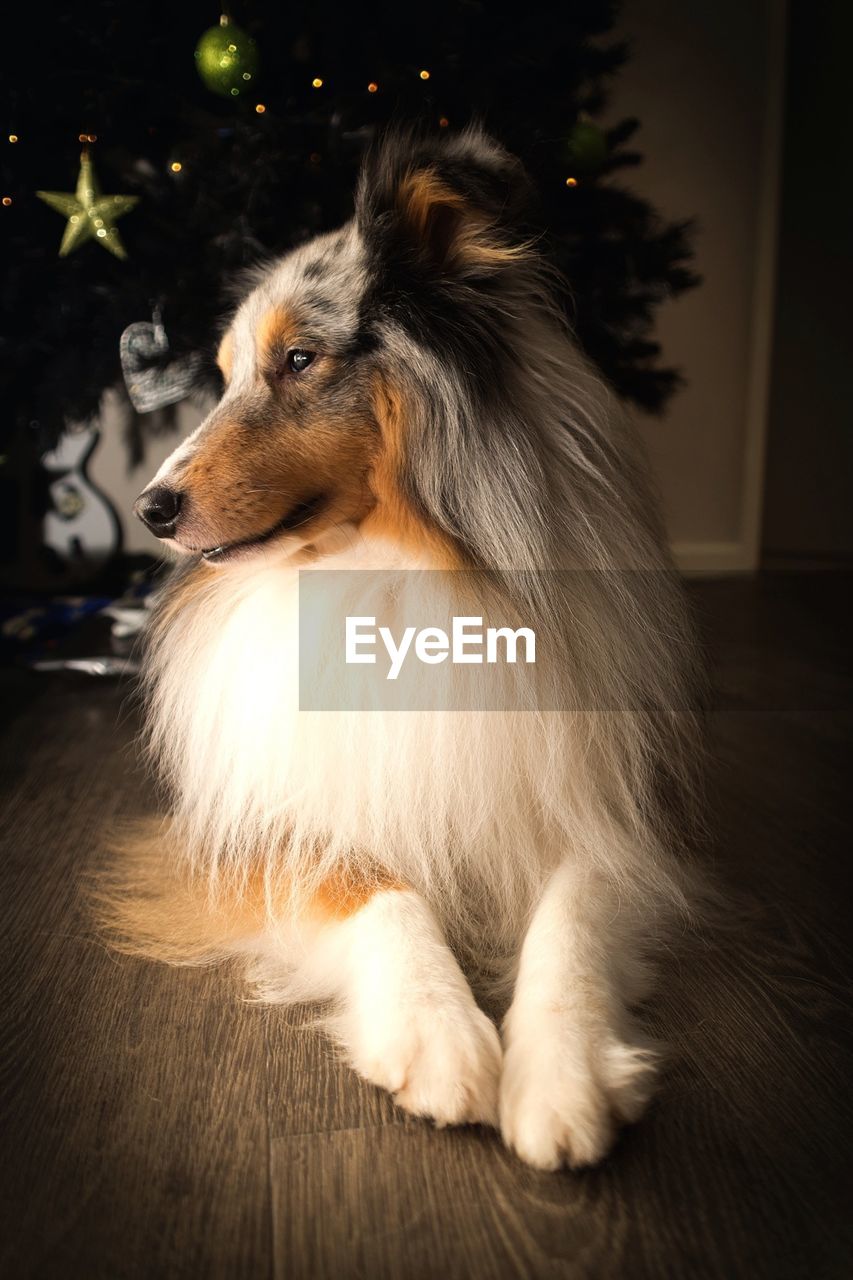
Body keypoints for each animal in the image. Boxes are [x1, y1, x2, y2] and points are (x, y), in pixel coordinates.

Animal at [103, 127, 701, 1172]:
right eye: (222, 374)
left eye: (300, 357)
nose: (150, 508)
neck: (390, 576)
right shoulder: (274, 823)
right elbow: (380, 892)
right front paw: (439, 1036)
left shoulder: (597, 805)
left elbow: (572, 918)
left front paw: (560, 1078)